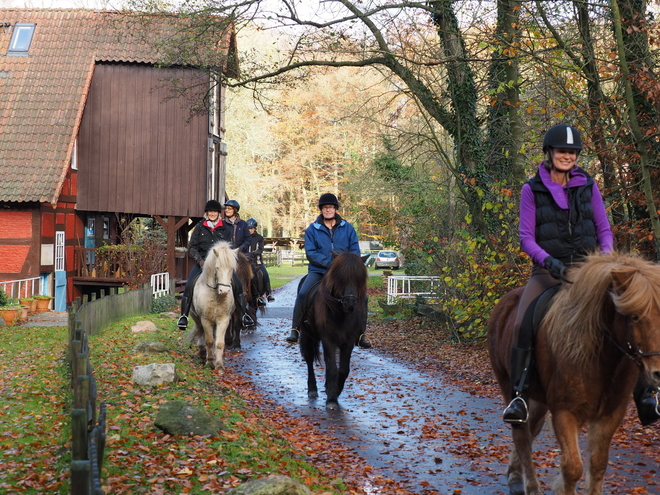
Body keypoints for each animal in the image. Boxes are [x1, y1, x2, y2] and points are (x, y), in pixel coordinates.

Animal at [188, 240, 237, 372]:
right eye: (217, 268)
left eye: (231, 268)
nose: (224, 291)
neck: (215, 295)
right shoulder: (205, 319)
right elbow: (209, 341)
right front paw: (209, 362)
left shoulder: (223, 320)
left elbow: (219, 343)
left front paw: (219, 365)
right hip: (197, 318)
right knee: (200, 331)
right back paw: (202, 353)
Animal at [300, 252, 368, 410]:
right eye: (340, 278)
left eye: (359, 278)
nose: (350, 304)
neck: (340, 314)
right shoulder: (328, 340)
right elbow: (332, 368)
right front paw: (331, 399)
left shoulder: (348, 341)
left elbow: (343, 369)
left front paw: (336, 391)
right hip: (307, 335)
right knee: (309, 360)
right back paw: (312, 389)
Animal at [488, 254, 660, 494]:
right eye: (634, 316)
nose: (658, 372)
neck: (598, 356)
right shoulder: (564, 413)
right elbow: (572, 468)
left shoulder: (610, 415)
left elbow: (597, 465)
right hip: (509, 386)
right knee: (521, 437)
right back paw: (527, 485)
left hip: (538, 400)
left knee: (530, 432)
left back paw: (514, 474)